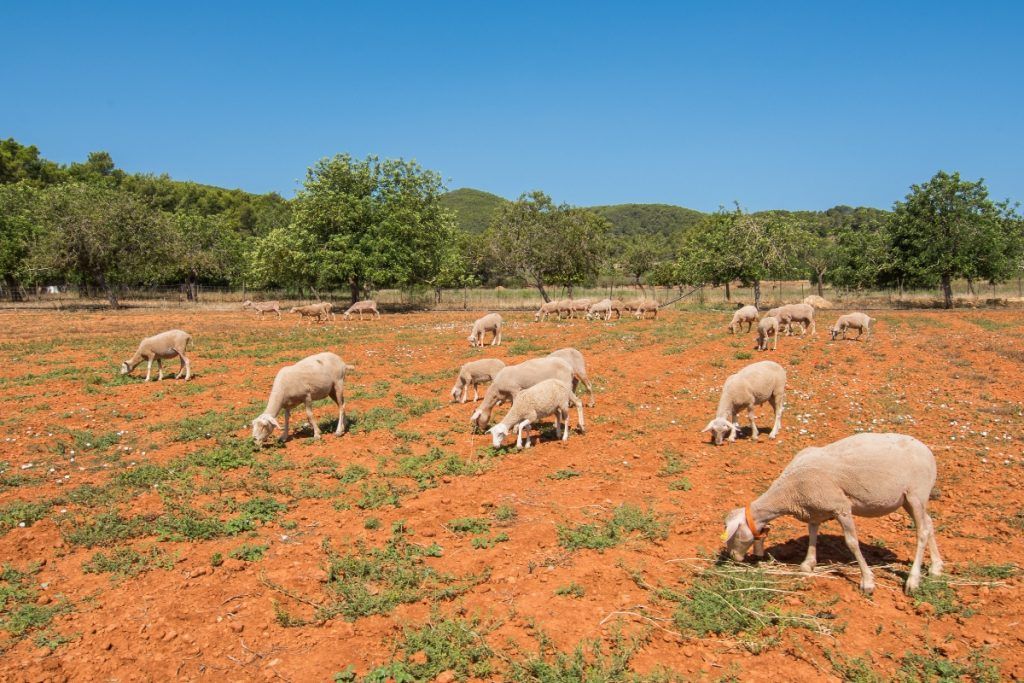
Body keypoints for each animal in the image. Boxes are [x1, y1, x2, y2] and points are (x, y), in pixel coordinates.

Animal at [720, 436, 942, 593]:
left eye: (734, 534)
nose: (733, 557)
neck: (789, 490)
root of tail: (927, 450)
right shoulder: (814, 509)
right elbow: (812, 533)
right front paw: (808, 564)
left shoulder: (841, 507)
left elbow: (852, 543)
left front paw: (867, 581)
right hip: (907, 499)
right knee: (929, 523)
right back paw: (936, 567)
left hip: (917, 493)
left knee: (922, 532)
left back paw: (913, 580)